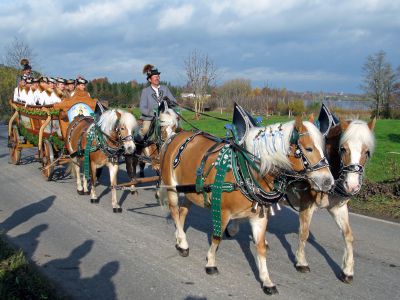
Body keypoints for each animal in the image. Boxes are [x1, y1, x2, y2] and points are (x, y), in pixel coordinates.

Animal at [159, 118, 334, 296]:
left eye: (323, 148)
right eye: (308, 148)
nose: (328, 181)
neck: (247, 170)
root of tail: (177, 135)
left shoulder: (259, 217)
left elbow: (261, 247)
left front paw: (267, 281)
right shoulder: (222, 211)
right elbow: (217, 237)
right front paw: (211, 263)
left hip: (192, 192)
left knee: (182, 212)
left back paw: (180, 238)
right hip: (172, 187)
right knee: (174, 211)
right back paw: (183, 244)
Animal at [286, 118, 376, 284]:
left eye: (366, 152)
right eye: (343, 149)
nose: (352, 185)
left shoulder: (337, 208)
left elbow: (348, 235)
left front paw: (347, 270)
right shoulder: (306, 205)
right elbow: (304, 233)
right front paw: (301, 262)